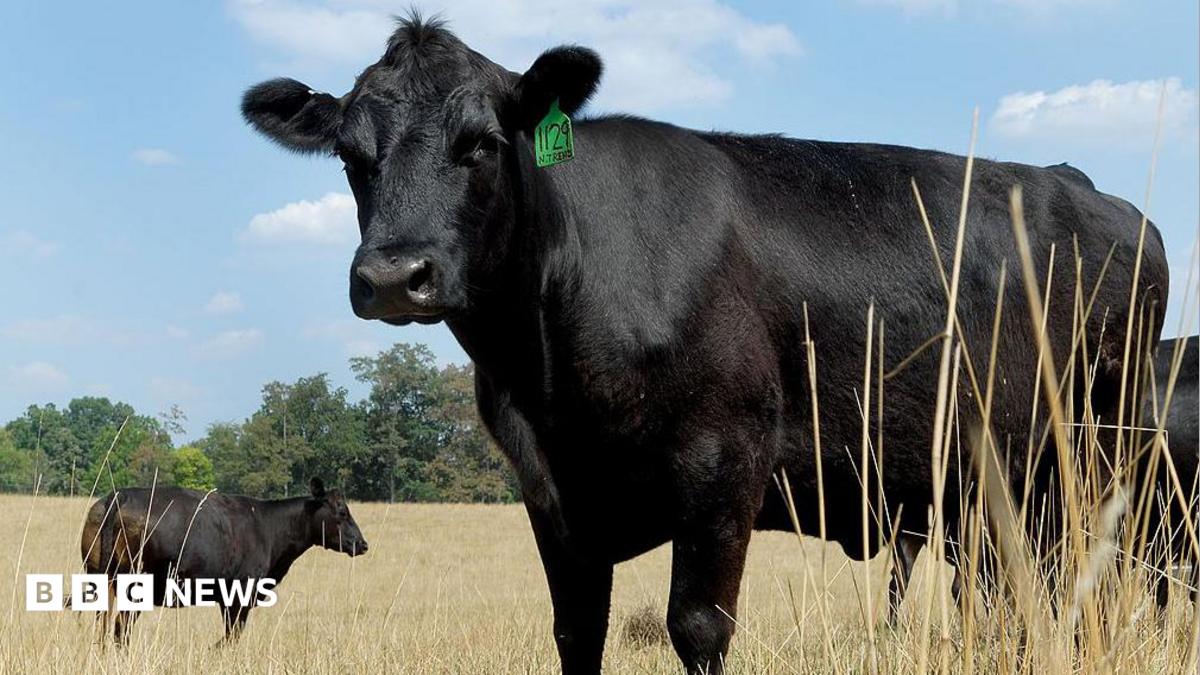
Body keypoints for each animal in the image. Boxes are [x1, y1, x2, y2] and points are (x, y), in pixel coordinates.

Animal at [81, 477, 367, 644]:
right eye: (342, 512)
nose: (363, 544)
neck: (269, 527)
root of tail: (119, 496)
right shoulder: (241, 594)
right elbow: (232, 637)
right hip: (136, 587)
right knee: (120, 630)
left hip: (102, 578)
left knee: (104, 626)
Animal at [240, 16, 1168, 674]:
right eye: (351, 157)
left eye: (483, 144)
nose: (394, 275)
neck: (548, 371)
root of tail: (1089, 190)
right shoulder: (551, 492)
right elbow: (576, 630)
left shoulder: (725, 462)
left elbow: (697, 626)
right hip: (993, 485)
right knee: (1008, 594)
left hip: (1098, 456)